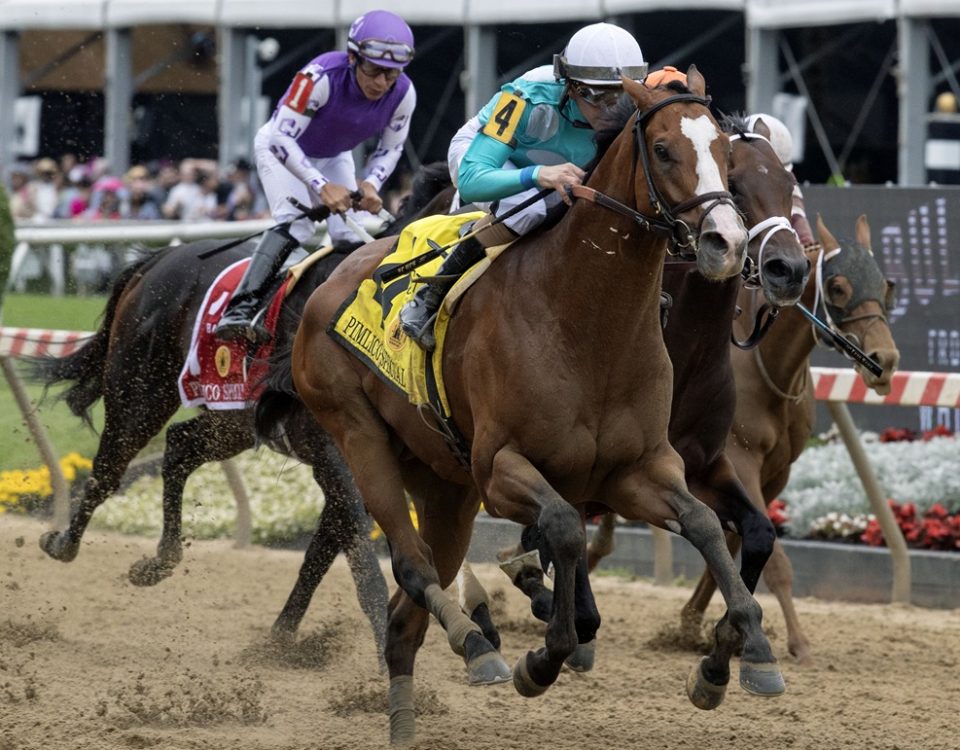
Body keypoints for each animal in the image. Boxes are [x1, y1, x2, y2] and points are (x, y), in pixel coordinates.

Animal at [25, 166, 454, 656]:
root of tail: (158, 258)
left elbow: (323, 550)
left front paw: (282, 638)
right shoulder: (336, 453)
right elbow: (361, 558)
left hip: (233, 423)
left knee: (180, 446)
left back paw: (159, 560)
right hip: (140, 390)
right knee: (110, 468)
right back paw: (63, 542)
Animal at [284, 72, 780, 748]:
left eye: (726, 154)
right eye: (663, 149)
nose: (725, 243)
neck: (586, 322)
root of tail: (327, 283)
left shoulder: (639, 470)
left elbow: (704, 524)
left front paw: (740, 655)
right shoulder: (502, 470)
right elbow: (565, 529)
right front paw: (543, 657)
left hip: (446, 486)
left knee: (404, 617)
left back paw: (418, 708)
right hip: (361, 436)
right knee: (412, 567)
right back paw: (476, 643)